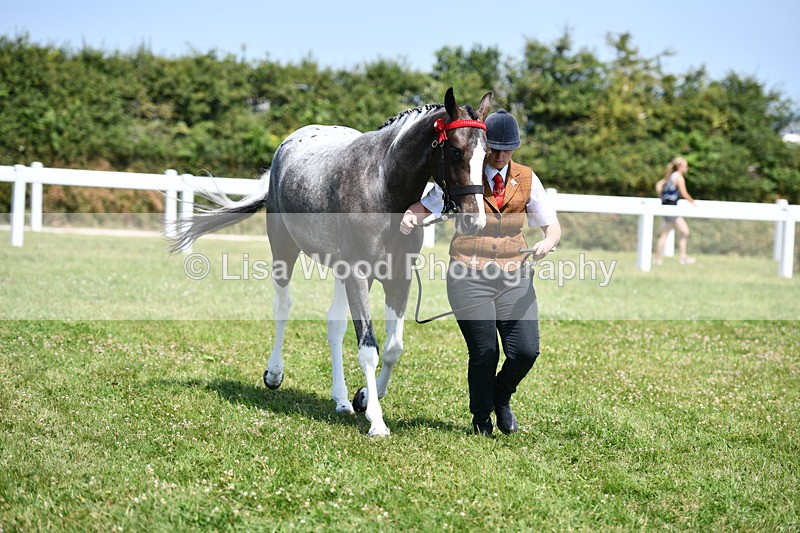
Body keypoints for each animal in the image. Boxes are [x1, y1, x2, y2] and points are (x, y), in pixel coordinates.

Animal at [171, 88, 492, 436]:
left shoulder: (399, 277)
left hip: (341, 271)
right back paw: (274, 374)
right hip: (284, 251)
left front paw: (364, 398)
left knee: (334, 325)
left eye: (487, 154)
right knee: (283, 307)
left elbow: (393, 348)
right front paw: (377, 422)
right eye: (456, 150)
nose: (475, 220)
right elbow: (368, 348)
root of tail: (285, 149)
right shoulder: (359, 275)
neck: (381, 186)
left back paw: (340, 399)